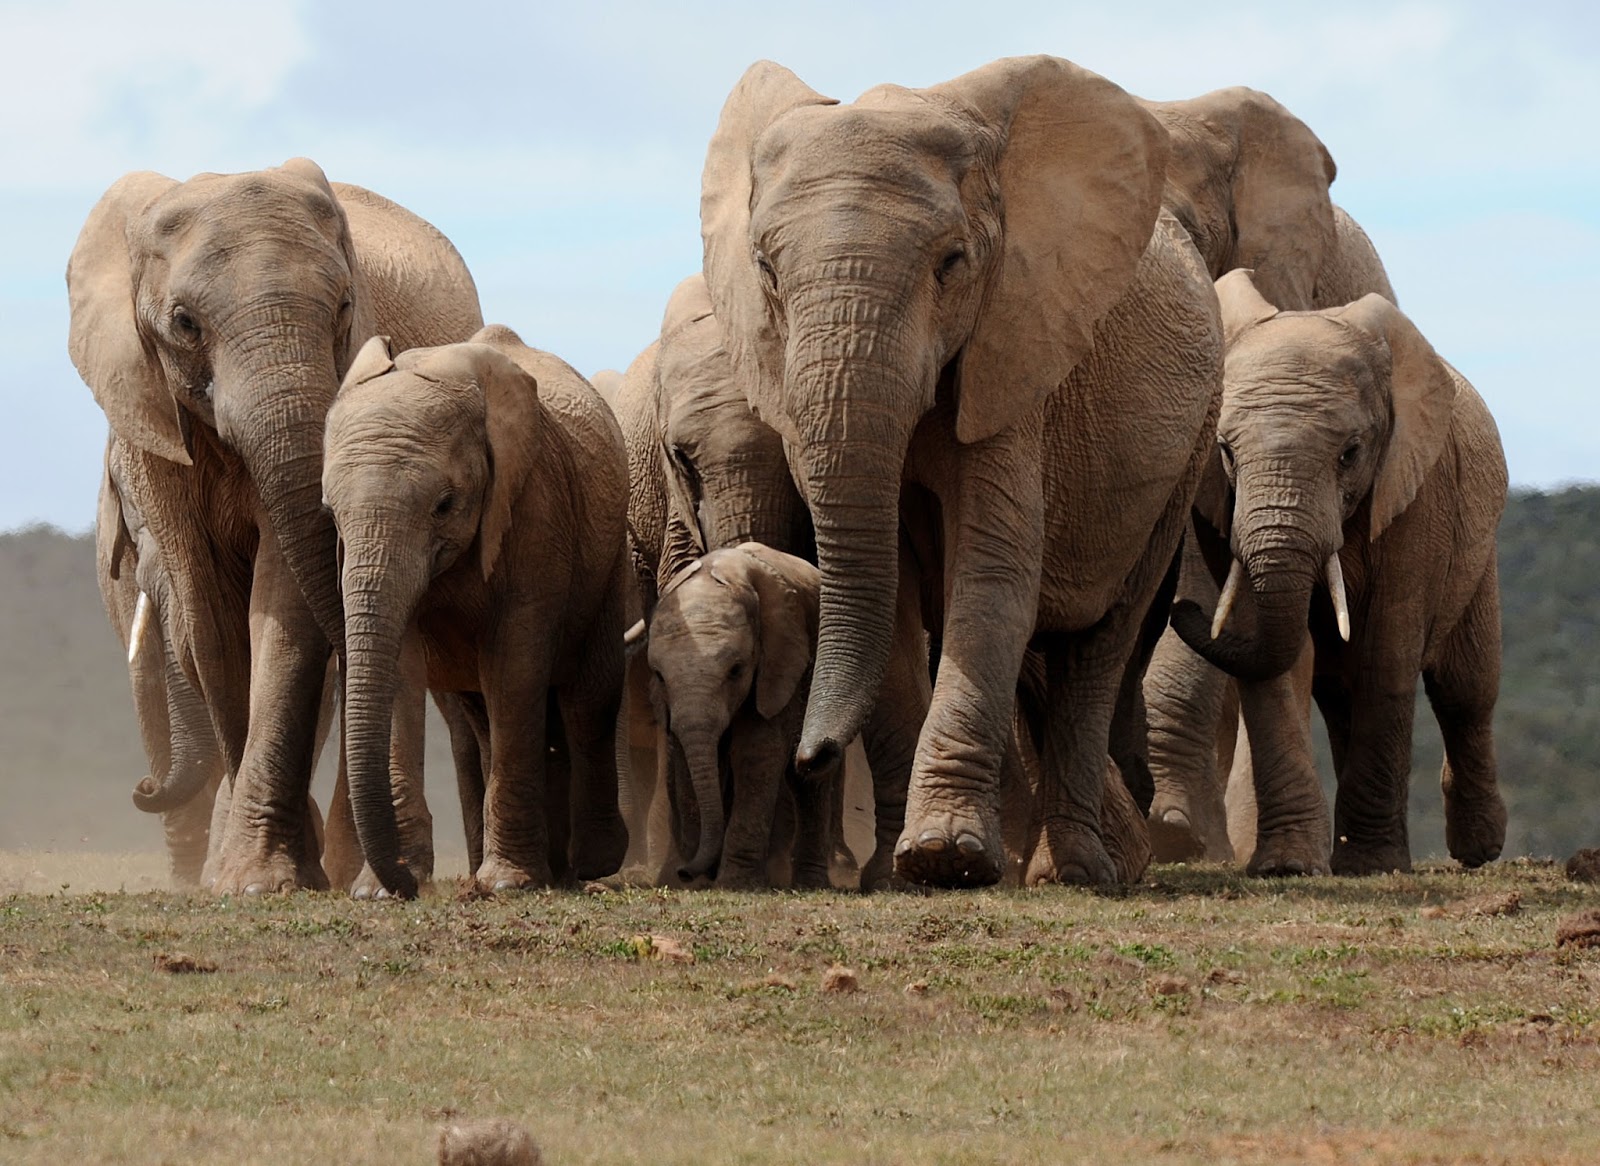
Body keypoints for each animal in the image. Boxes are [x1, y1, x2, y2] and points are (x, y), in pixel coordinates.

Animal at [67, 158, 484, 894]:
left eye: (344, 308)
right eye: (183, 322)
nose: (142, 789)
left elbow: (283, 602)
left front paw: (263, 878)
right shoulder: (150, 424)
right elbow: (209, 618)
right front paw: (258, 875)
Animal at [322, 326, 631, 896]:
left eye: (445, 505)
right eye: (331, 513)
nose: (409, 885)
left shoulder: (536, 507)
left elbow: (514, 666)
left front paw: (506, 884)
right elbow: (402, 668)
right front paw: (377, 891)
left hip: (609, 561)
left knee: (589, 696)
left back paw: (589, 866)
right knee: (484, 715)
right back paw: (554, 868)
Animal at [646, 544, 918, 889]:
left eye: (736, 670)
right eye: (658, 676)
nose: (686, 872)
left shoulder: (779, 662)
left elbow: (756, 753)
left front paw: (734, 883)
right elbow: (684, 755)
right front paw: (700, 880)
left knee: (808, 784)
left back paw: (809, 883)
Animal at [700, 55, 1223, 887]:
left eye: (952, 264)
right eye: (766, 272)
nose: (812, 757)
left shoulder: (1015, 351)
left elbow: (993, 572)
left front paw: (944, 857)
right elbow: (899, 595)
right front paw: (905, 873)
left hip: (1192, 440)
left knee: (1098, 644)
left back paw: (1079, 871)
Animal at [1168, 270, 1508, 875]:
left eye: (1350, 453)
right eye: (1225, 451)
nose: (1182, 606)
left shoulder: (1418, 495)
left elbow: (1388, 652)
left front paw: (1373, 865)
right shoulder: (1219, 506)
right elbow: (1277, 656)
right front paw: (1287, 866)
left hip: (1478, 543)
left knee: (1465, 689)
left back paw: (1479, 850)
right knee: (1341, 692)